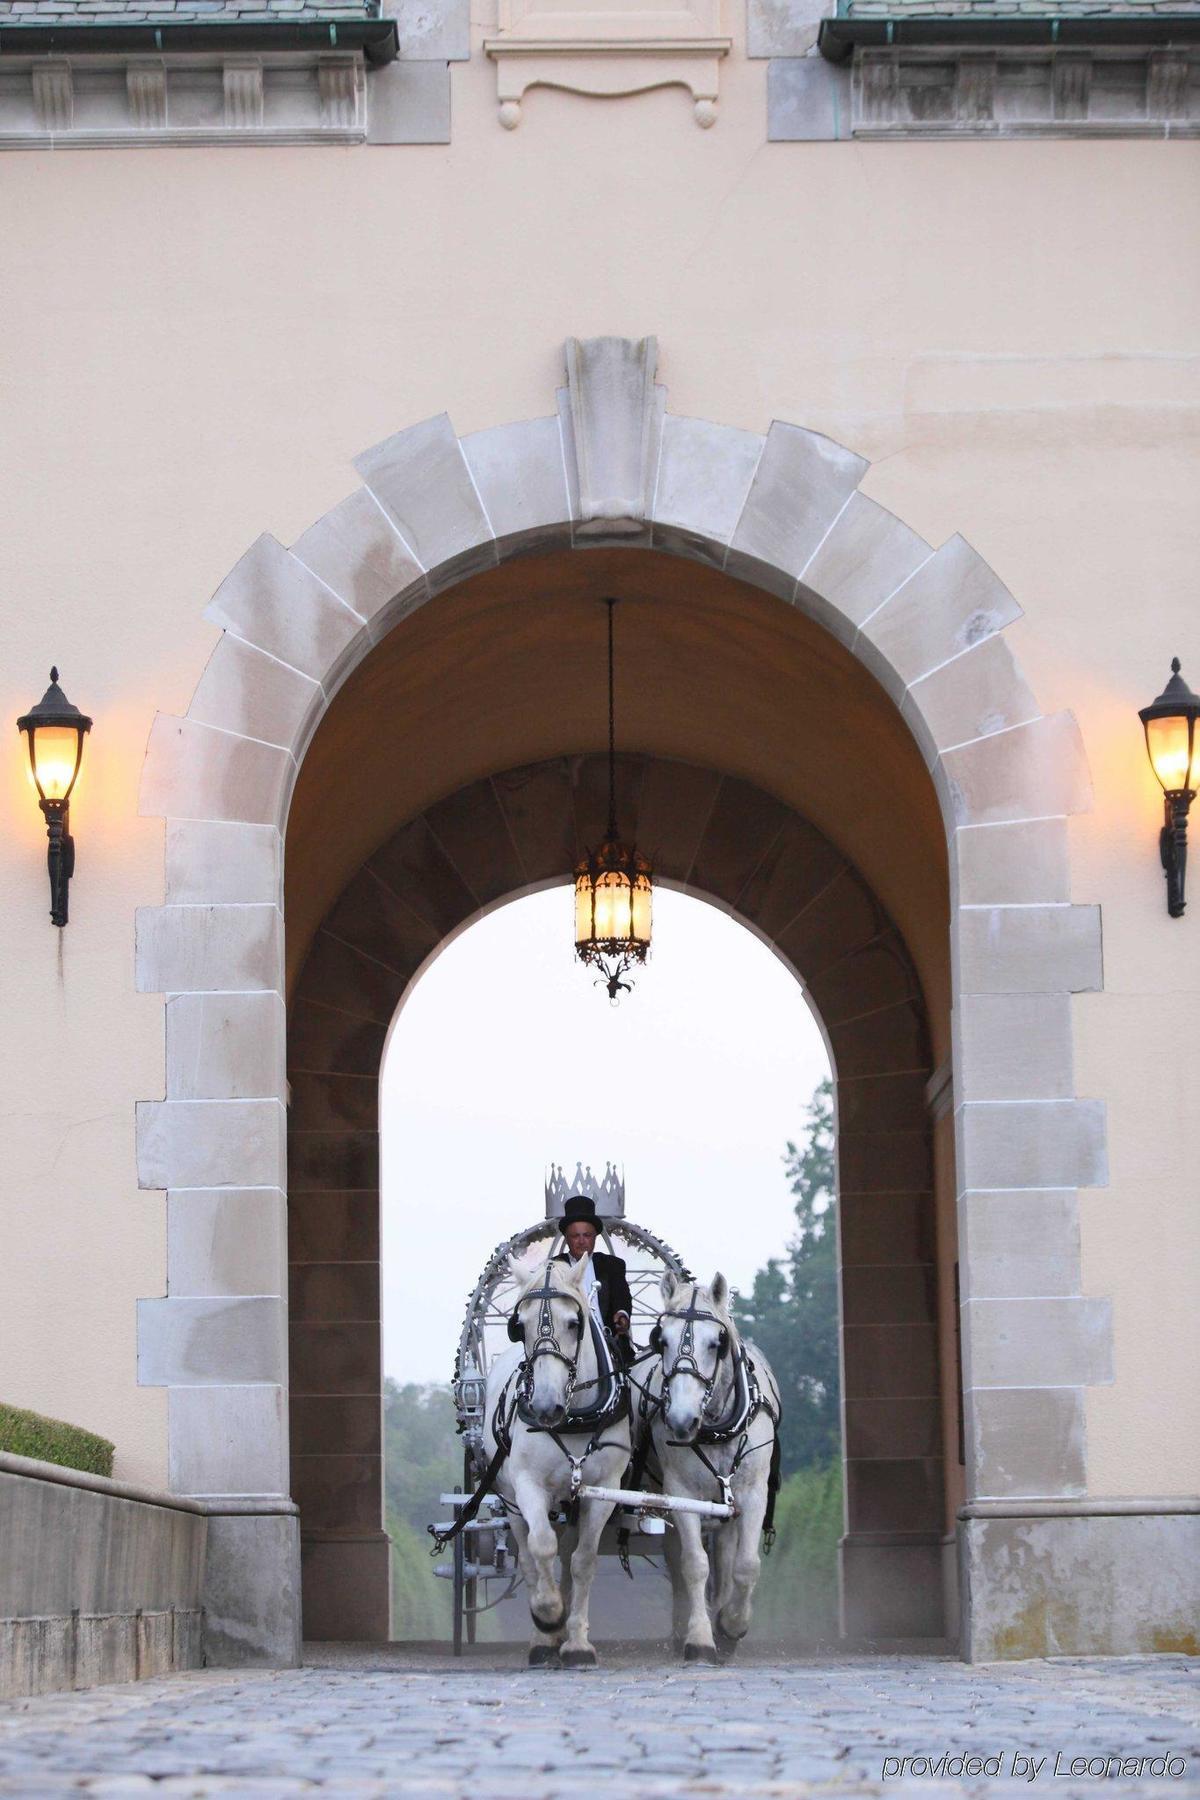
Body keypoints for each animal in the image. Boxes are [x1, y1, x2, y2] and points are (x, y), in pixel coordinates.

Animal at [482, 1260, 633, 1663]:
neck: (574, 1417)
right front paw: (548, 1615)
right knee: (529, 1557)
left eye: (574, 1322)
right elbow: (541, 1547)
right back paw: (543, 1638)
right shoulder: (528, 1486)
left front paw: (577, 1642)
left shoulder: (603, 1490)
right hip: (511, 1502)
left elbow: (583, 1561)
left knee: (567, 1556)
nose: (546, 1407)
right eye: (519, 1325)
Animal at [647, 1274, 788, 1663]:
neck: (716, 1428)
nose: (681, 1421)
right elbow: (694, 1564)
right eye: (661, 1339)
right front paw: (698, 1638)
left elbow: (746, 1565)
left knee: (726, 1562)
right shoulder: (680, 1492)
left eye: (716, 1343)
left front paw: (732, 1626)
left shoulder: (752, 1494)